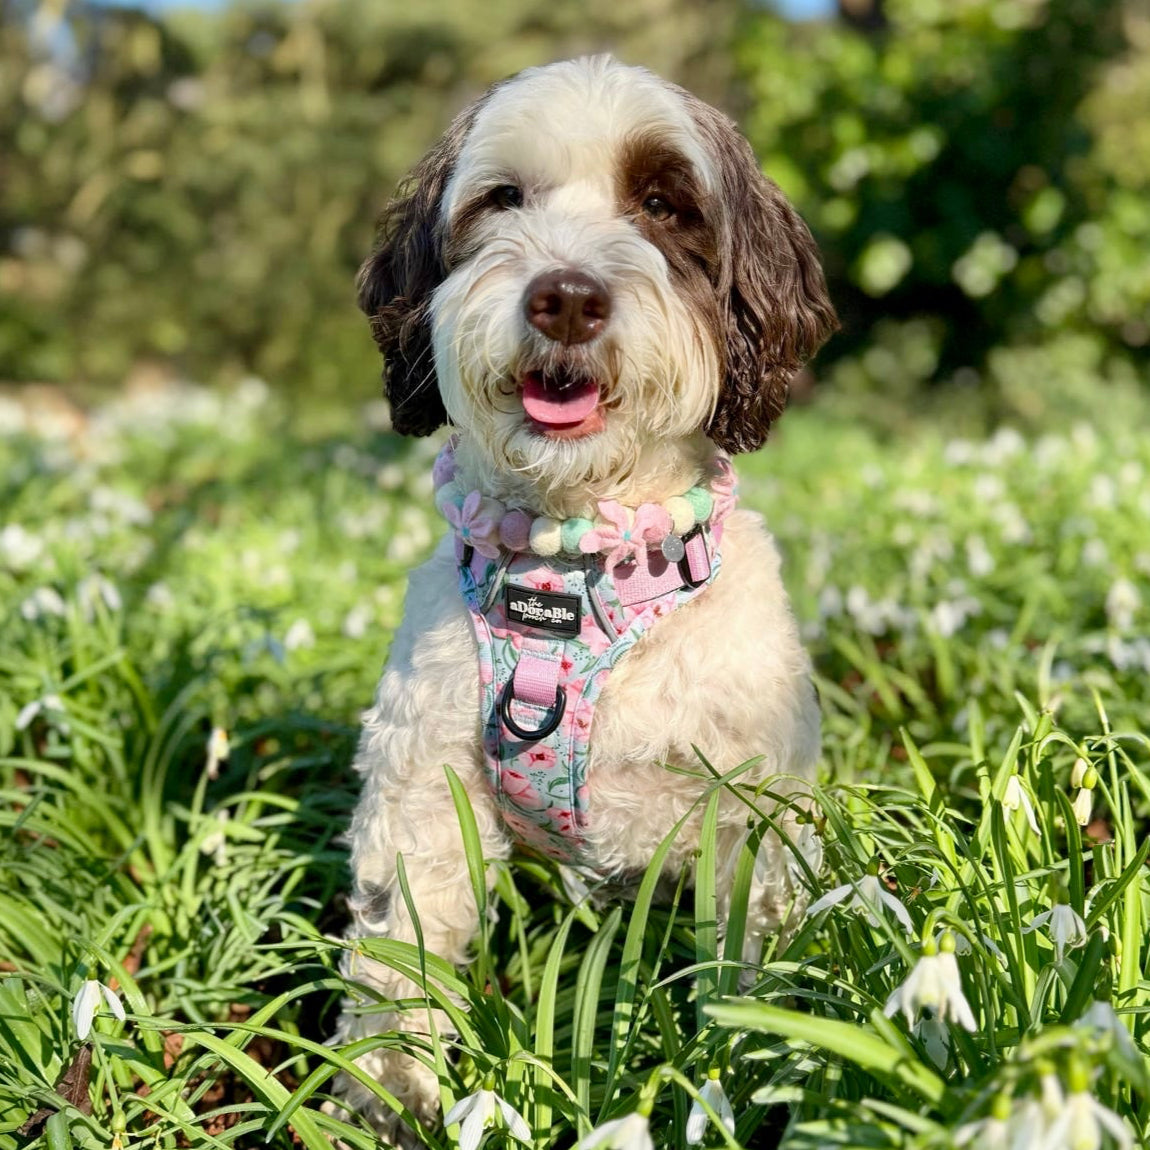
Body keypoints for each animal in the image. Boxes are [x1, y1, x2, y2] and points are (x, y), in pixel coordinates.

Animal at [333, 54, 837, 1140]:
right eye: (500, 199)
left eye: (663, 204)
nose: (564, 298)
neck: (574, 567)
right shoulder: (422, 786)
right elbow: (399, 954)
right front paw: (386, 1097)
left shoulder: (746, 811)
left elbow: (748, 963)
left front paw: (755, 1068)